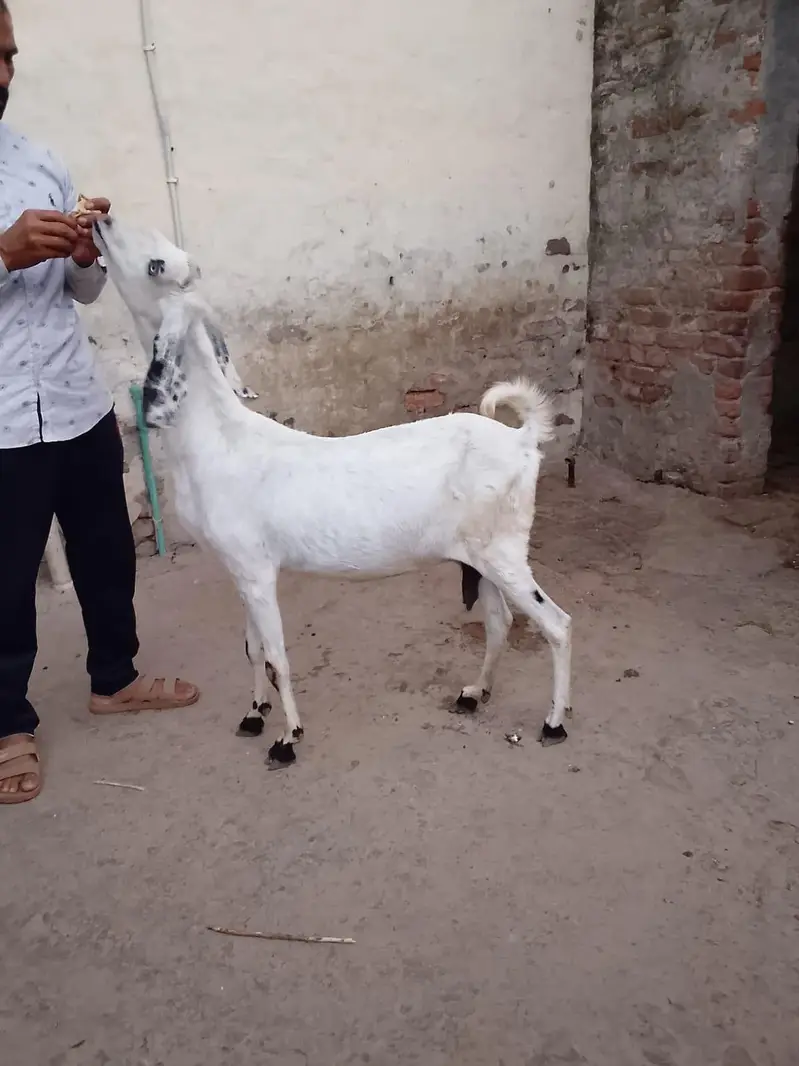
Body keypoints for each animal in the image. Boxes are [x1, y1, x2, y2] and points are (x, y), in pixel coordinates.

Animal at [93, 215, 573, 766]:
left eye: (156, 265)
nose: (101, 218)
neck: (218, 436)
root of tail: (523, 439)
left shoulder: (257, 571)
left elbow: (277, 656)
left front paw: (288, 739)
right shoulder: (240, 569)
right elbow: (253, 649)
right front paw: (254, 714)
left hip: (505, 552)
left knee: (557, 624)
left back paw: (554, 721)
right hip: (479, 556)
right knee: (499, 623)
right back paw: (476, 693)